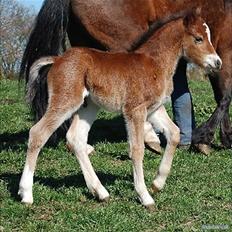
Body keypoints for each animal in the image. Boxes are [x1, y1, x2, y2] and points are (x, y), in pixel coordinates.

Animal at [18, 11, 221, 208]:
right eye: (198, 38)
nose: (217, 62)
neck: (155, 63)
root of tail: (58, 59)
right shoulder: (135, 110)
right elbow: (137, 149)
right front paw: (145, 196)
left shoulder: (155, 109)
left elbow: (175, 133)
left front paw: (157, 183)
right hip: (66, 101)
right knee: (38, 133)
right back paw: (26, 194)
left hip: (88, 106)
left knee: (76, 138)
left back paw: (100, 192)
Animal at [20, 0, 232, 152]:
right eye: (198, 38)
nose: (216, 62)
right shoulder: (225, 48)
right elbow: (225, 94)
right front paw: (207, 138)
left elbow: (219, 94)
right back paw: (150, 137)